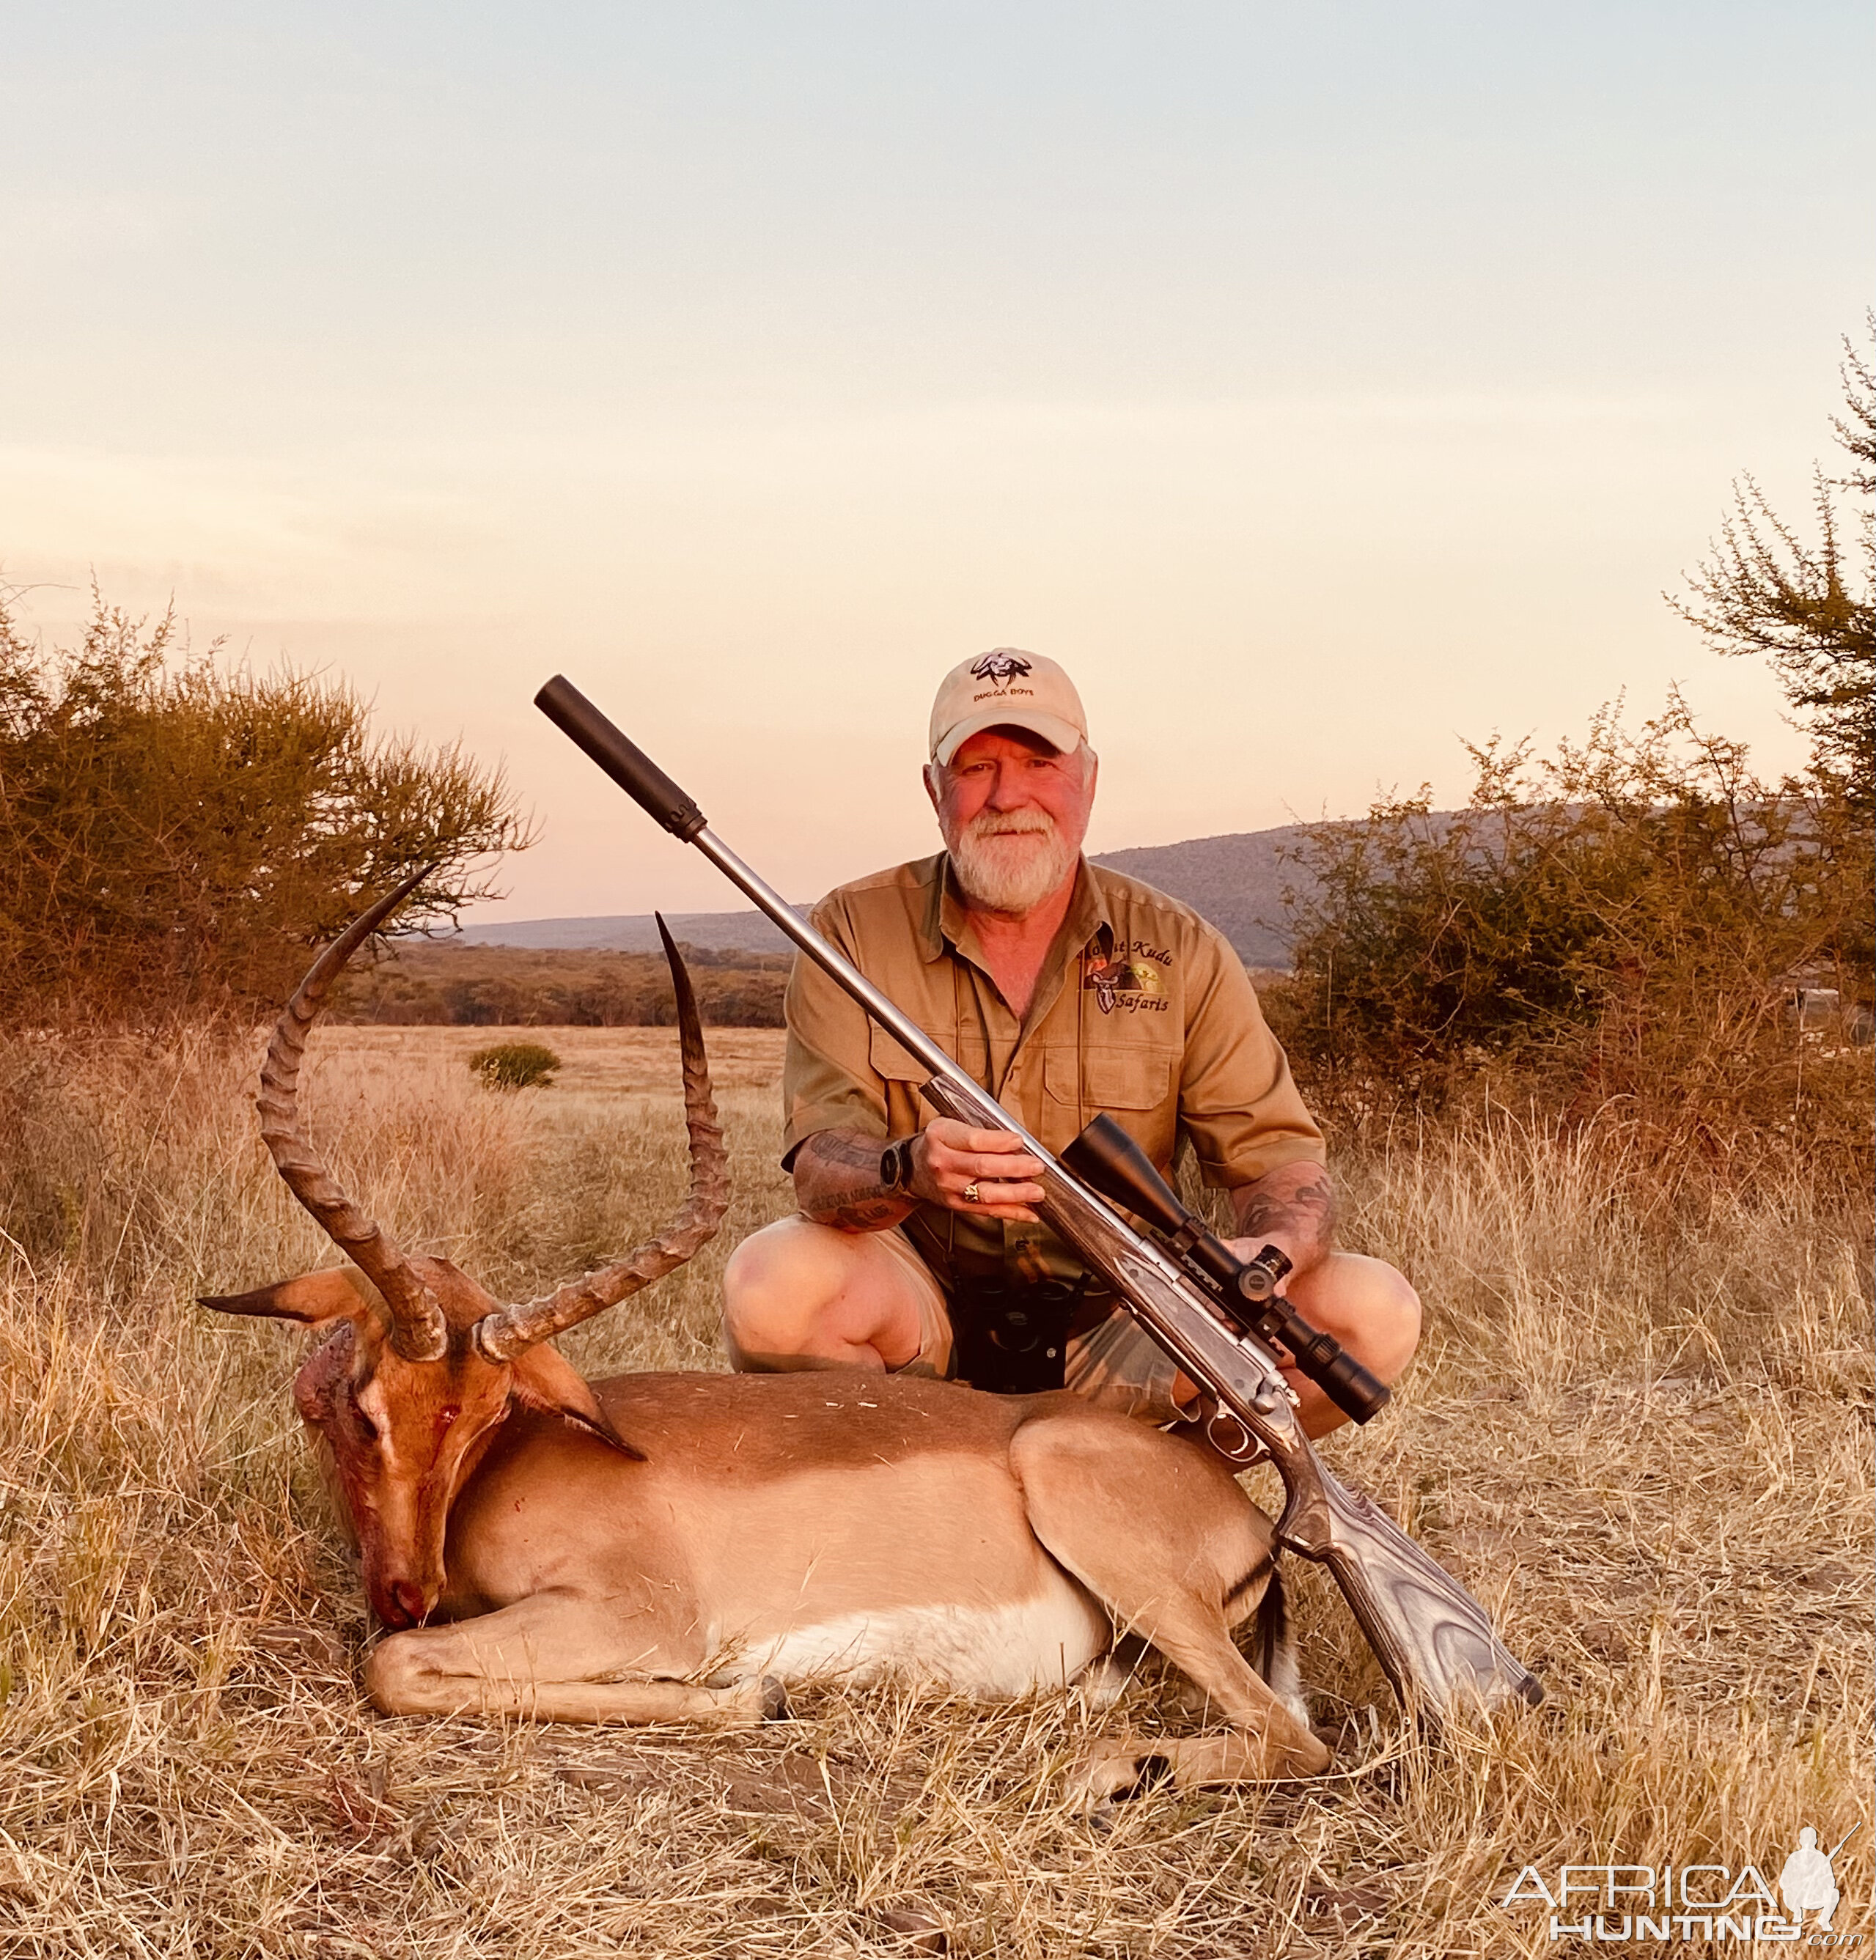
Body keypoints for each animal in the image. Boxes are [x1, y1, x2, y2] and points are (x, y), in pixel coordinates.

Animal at [205, 882, 1333, 1795]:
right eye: (364, 1406)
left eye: (486, 1411)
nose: (407, 1590)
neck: (508, 1468)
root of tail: (1244, 1517)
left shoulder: (635, 1613)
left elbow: (391, 1667)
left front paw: (753, 1693)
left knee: (1296, 1736)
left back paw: (1112, 1773)